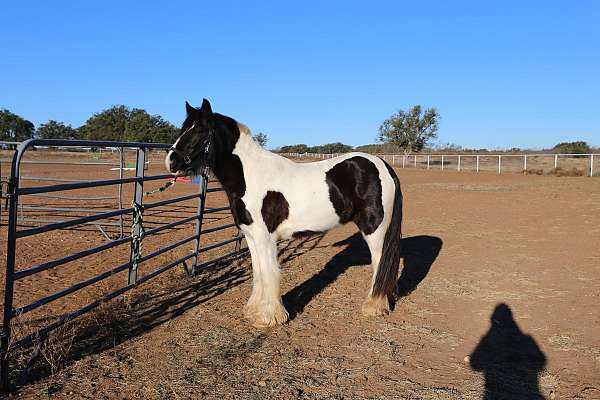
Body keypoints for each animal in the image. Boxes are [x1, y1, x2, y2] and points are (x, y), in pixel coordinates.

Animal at [165, 100, 404, 328]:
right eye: (184, 128)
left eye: (199, 131)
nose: (171, 161)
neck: (250, 176)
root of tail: (383, 166)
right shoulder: (251, 235)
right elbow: (258, 272)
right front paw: (253, 311)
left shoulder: (265, 237)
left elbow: (269, 273)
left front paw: (269, 317)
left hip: (374, 229)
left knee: (380, 263)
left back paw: (373, 306)